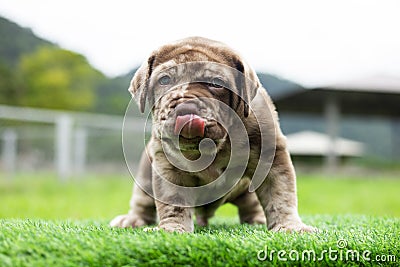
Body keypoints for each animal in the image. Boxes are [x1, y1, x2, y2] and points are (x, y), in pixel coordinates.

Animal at [110, 36, 316, 233]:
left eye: (217, 84)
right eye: (164, 80)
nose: (186, 107)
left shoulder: (272, 157)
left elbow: (280, 194)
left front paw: (290, 226)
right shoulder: (168, 166)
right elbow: (173, 201)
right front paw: (172, 228)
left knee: (251, 204)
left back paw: (255, 220)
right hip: (145, 174)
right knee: (142, 202)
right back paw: (132, 219)